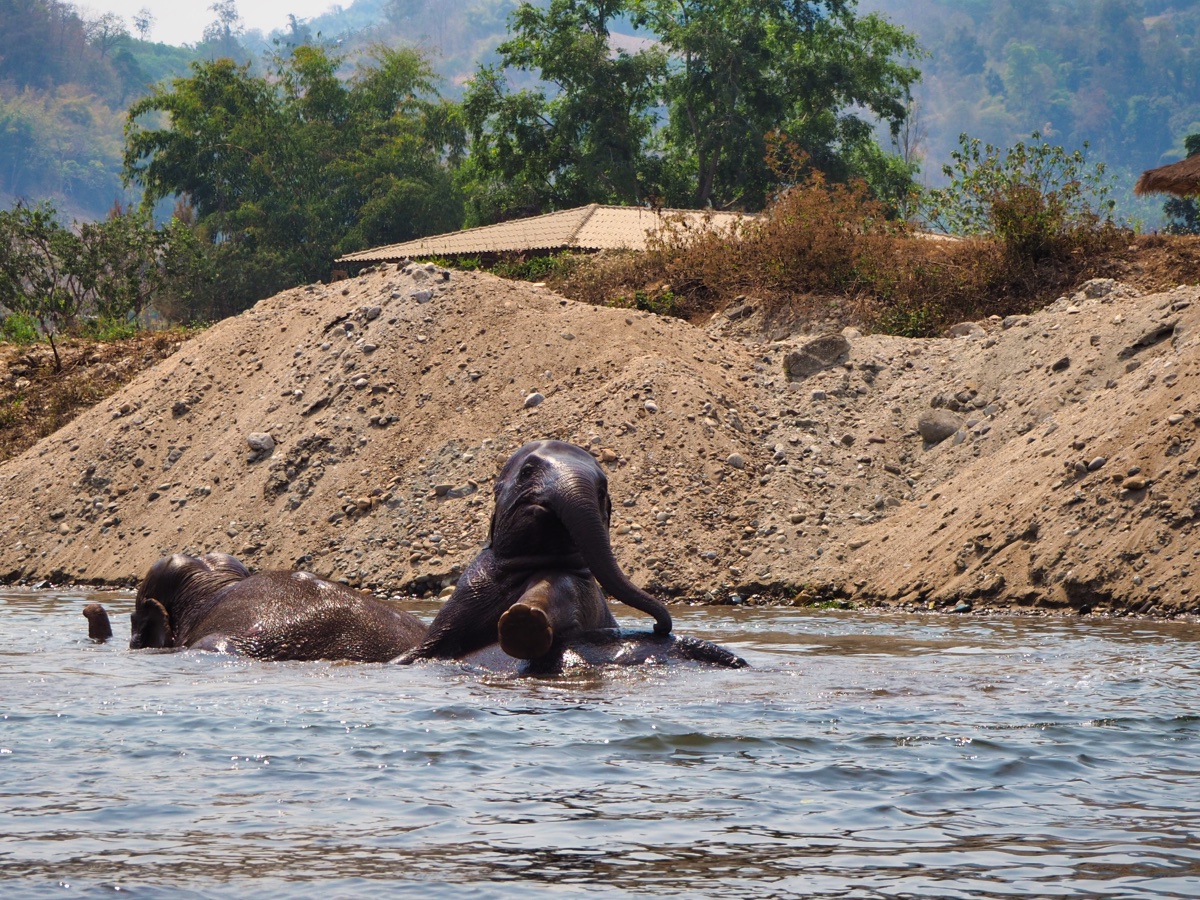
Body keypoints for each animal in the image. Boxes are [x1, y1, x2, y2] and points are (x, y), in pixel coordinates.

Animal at [402, 439, 745, 669]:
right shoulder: (469, 590)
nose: (660, 628)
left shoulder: (576, 587)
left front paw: (523, 620)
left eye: (602, 489)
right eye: (527, 470)